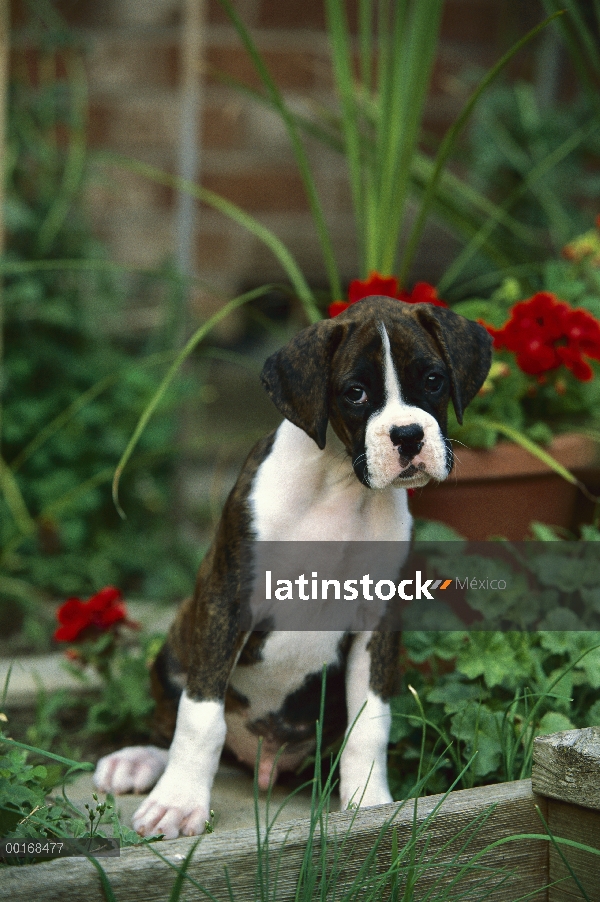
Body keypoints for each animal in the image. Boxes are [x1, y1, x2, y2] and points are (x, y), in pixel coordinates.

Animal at [92, 296, 488, 840]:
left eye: (433, 379)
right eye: (355, 392)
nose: (407, 435)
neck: (339, 486)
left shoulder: (378, 622)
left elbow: (371, 721)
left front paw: (369, 803)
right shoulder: (227, 602)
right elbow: (200, 715)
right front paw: (179, 802)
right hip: (175, 645)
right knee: (172, 714)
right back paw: (138, 761)